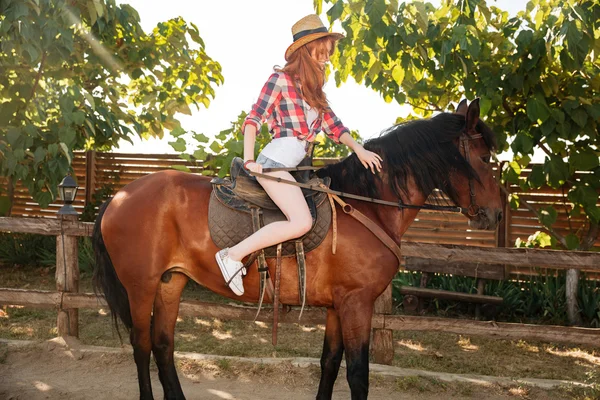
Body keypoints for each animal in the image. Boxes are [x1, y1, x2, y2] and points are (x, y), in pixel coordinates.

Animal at [92, 98, 502, 398]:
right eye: (484, 159)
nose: (497, 214)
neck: (366, 204)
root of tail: (119, 196)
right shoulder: (357, 303)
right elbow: (358, 375)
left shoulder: (339, 306)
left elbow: (329, 363)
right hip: (141, 287)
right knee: (142, 345)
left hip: (170, 282)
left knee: (163, 345)